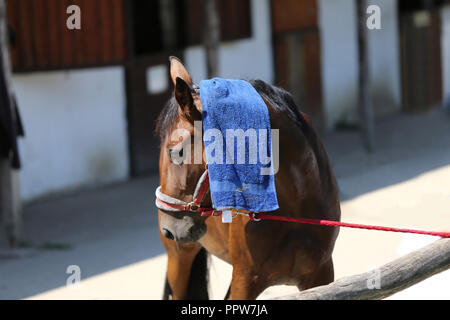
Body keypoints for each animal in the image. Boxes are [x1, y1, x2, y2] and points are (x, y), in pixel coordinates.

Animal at [155, 56, 342, 298]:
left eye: (176, 152)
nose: (168, 229)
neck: (294, 207)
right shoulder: (244, 279)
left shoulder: (321, 274)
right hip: (179, 257)